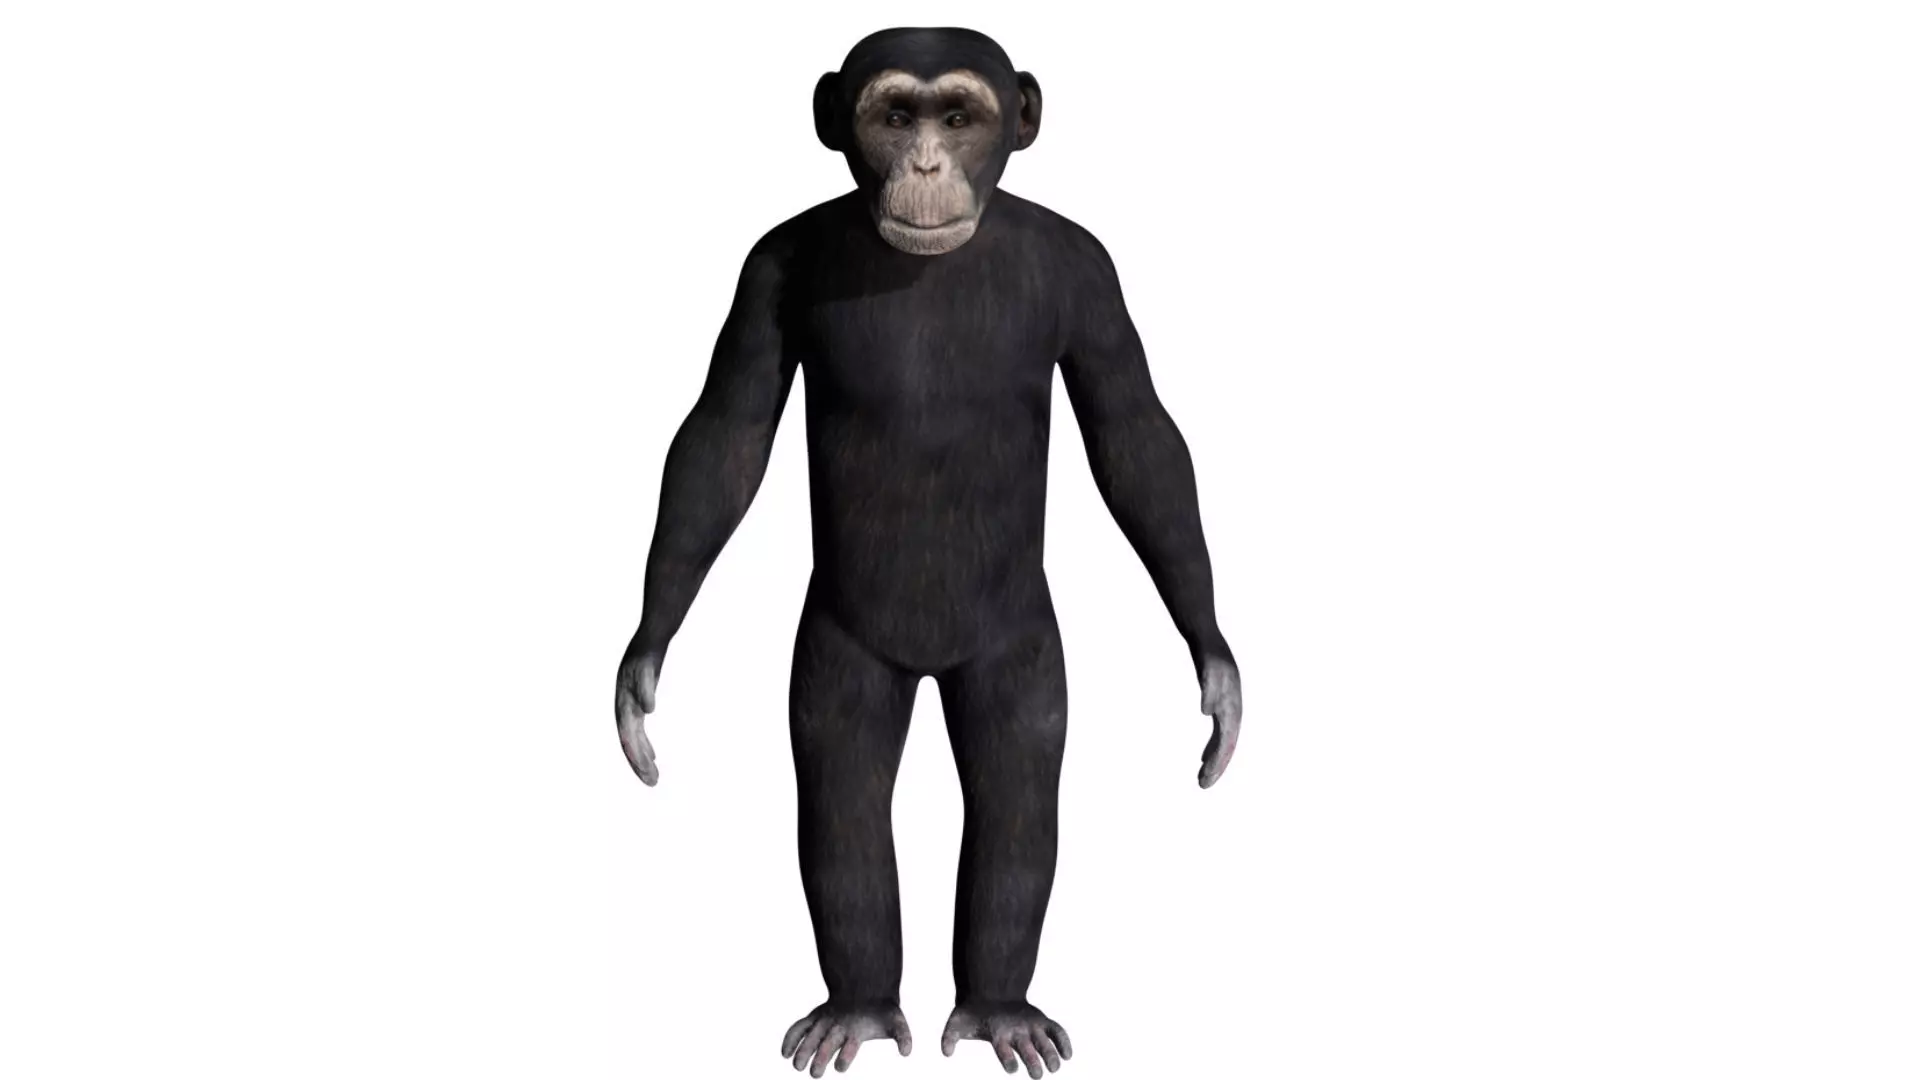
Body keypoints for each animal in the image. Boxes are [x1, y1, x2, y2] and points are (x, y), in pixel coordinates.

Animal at [614, 27, 1242, 1078]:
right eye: (895, 115)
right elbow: (724, 437)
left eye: (958, 116)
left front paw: (1218, 671)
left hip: (1016, 647)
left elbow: (1136, 438)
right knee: (844, 785)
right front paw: (642, 665)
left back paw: (999, 1008)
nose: (924, 166)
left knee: (1016, 784)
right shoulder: (764, 271)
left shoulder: (1094, 273)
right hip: (843, 650)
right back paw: (859, 1007)